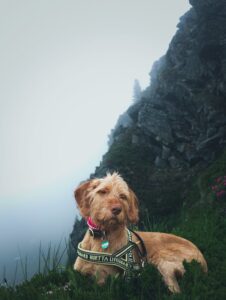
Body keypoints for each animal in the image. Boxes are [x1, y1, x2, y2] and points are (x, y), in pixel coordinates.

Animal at [73, 172, 207, 292]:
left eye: (123, 196)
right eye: (102, 191)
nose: (117, 209)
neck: (103, 235)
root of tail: (204, 262)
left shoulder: (106, 277)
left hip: (161, 259)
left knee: (176, 291)